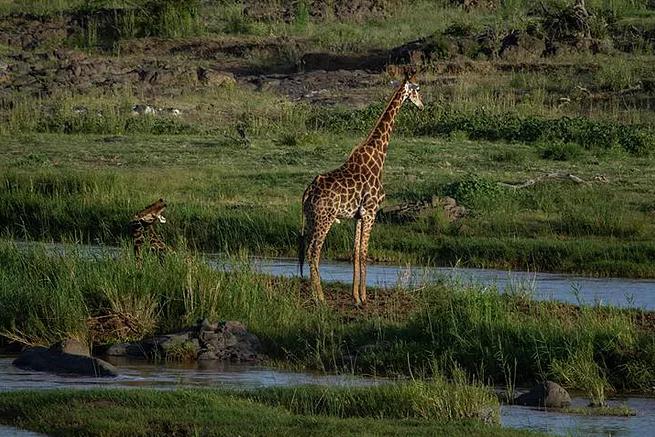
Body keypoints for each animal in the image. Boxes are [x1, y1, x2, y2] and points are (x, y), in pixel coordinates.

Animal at [298, 71, 426, 304]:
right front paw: (365, 298)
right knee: (313, 251)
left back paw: (314, 294)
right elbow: (365, 253)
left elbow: (356, 252)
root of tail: (307, 193)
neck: (378, 156)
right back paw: (321, 297)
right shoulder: (371, 211)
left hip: (311, 218)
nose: (422, 105)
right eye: (418, 89)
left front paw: (355, 296)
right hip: (325, 218)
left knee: (308, 251)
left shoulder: (359, 215)